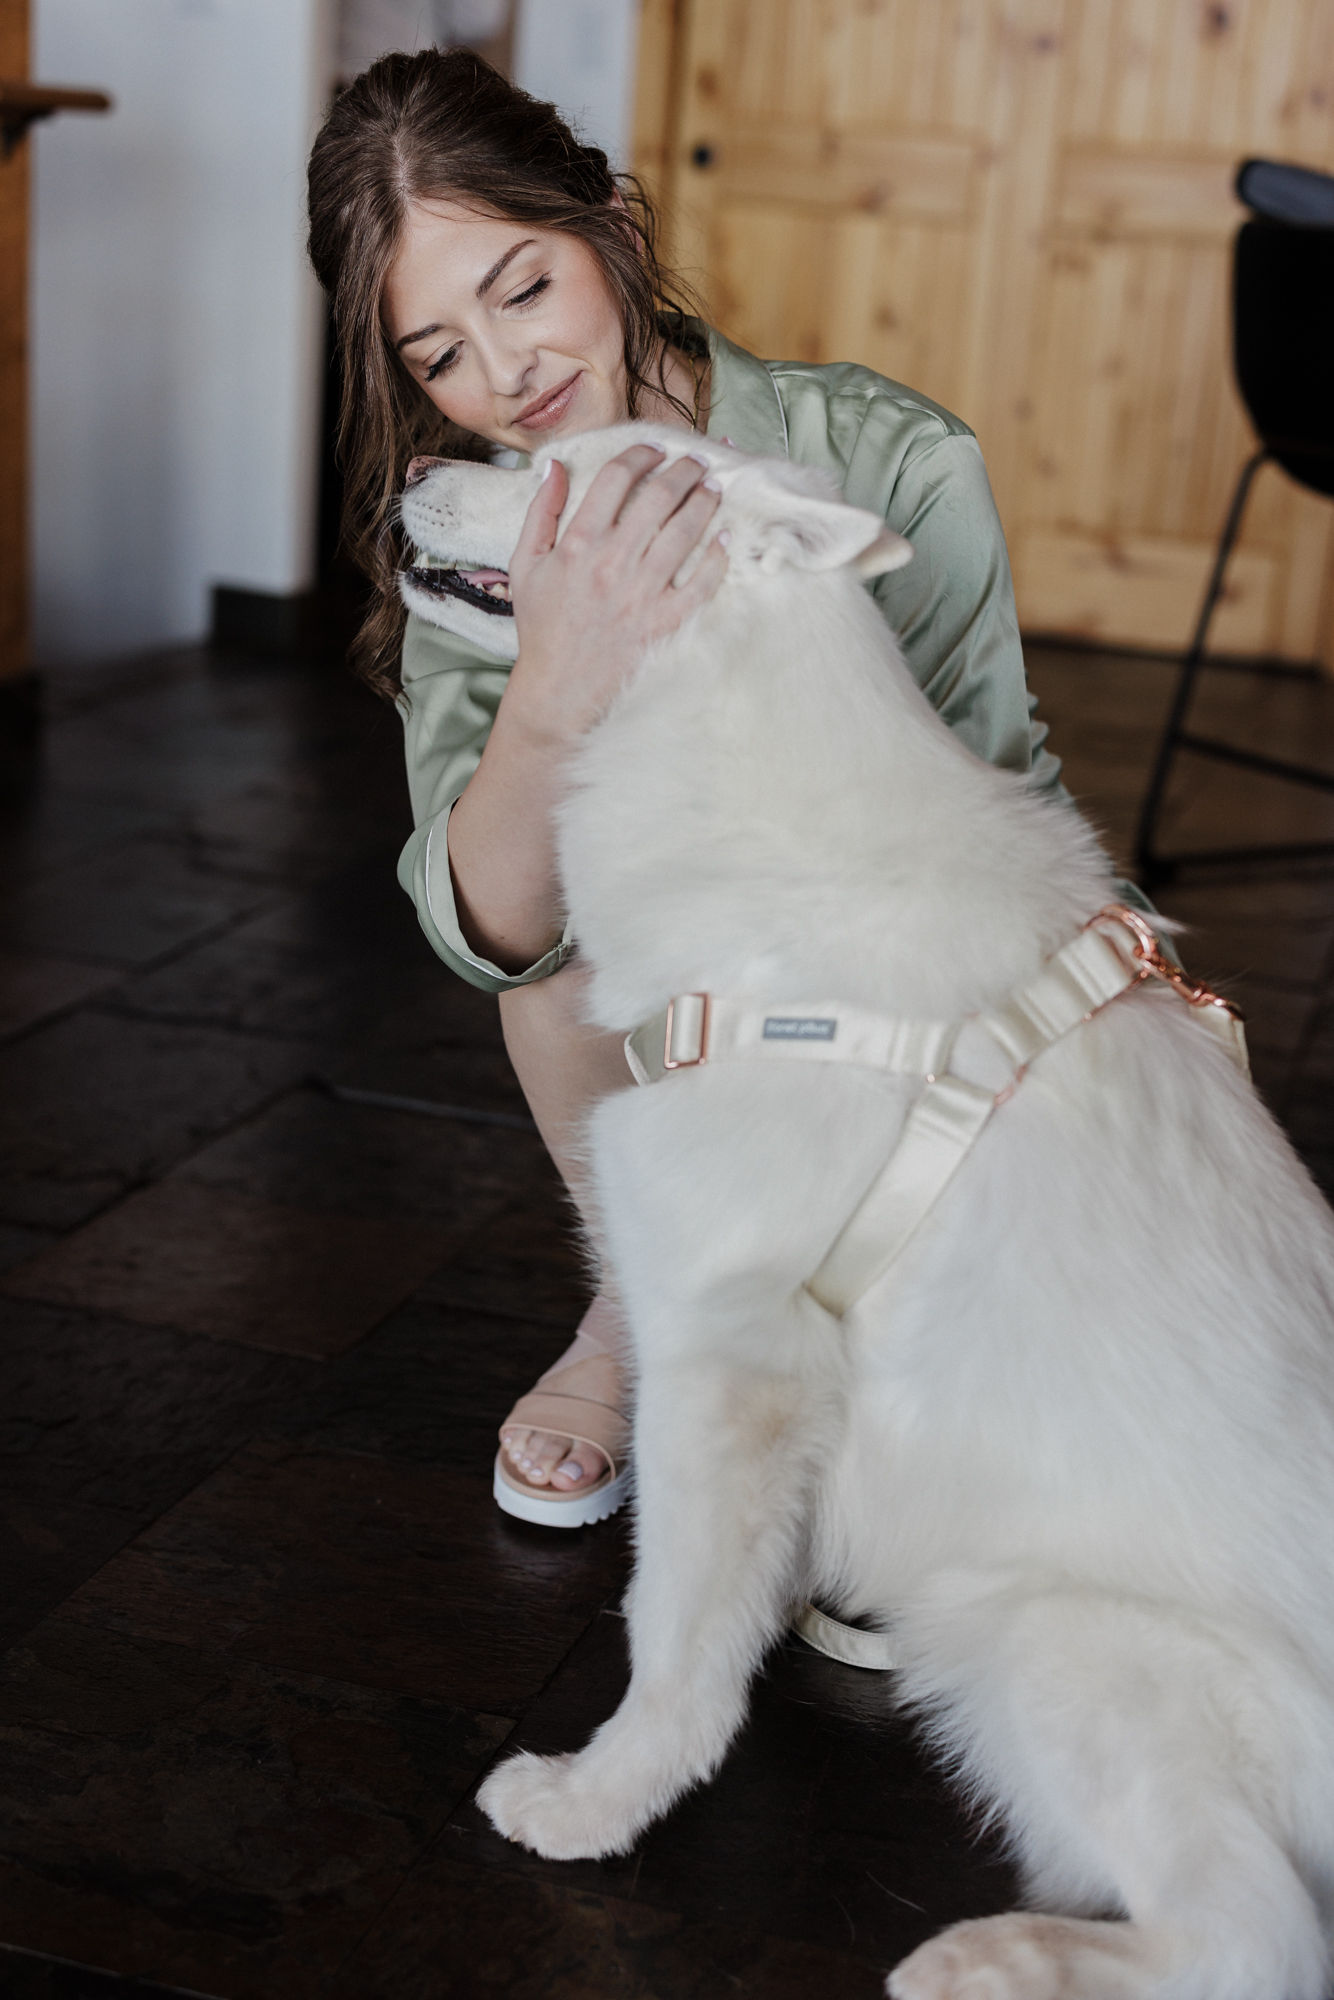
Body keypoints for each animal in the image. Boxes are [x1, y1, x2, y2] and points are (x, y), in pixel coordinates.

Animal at [402, 426, 1334, 2000]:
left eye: (552, 466)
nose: (411, 460)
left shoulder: (726, 1362)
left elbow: (669, 1630)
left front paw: (599, 1801)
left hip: (1046, 1646)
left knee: (1260, 1940)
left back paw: (983, 1961)